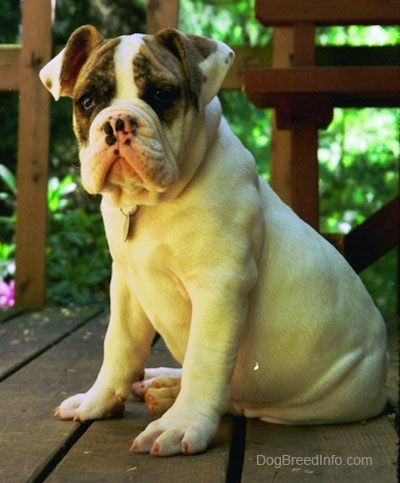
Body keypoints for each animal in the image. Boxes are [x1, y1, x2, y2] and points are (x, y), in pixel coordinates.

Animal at [39, 26, 388, 458]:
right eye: (87, 101)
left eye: (161, 95)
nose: (117, 121)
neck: (150, 204)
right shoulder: (126, 284)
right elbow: (118, 346)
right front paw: (97, 401)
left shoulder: (219, 287)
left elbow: (204, 363)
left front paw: (180, 425)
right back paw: (161, 380)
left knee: (233, 398)